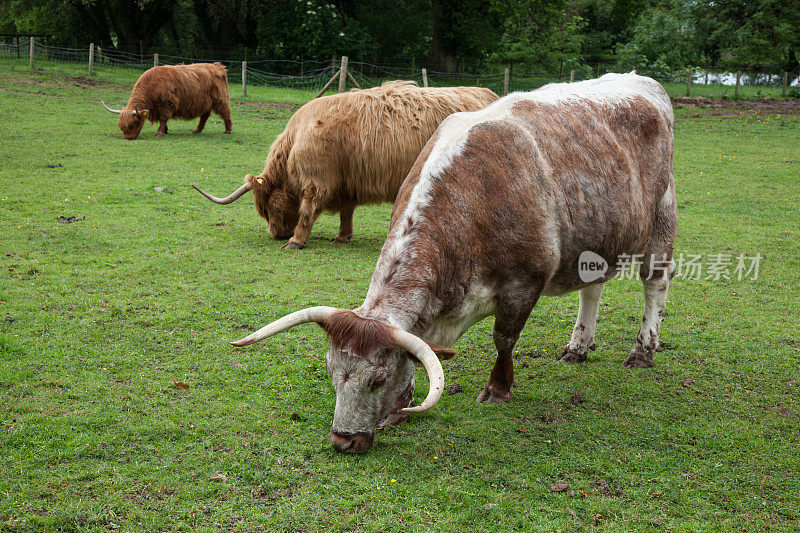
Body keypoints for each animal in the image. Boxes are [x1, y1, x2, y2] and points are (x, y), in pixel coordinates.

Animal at [100, 62, 231, 139]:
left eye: (134, 123)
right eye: (121, 126)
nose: (127, 138)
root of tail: (217, 66)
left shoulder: (167, 104)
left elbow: (163, 118)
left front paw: (159, 132)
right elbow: (164, 120)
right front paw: (165, 130)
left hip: (220, 99)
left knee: (226, 113)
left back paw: (228, 131)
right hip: (205, 103)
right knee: (204, 116)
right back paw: (197, 130)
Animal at [193, 82, 496, 248]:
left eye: (265, 208)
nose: (276, 235)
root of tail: (488, 94)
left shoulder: (317, 181)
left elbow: (307, 210)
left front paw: (296, 241)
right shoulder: (346, 182)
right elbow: (346, 212)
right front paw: (342, 237)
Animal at [230, 72, 676, 450]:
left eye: (377, 379)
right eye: (331, 372)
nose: (343, 441)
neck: (475, 198)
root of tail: (642, 81)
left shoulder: (523, 284)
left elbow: (504, 339)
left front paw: (498, 389)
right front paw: (400, 409)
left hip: (661, 224)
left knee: (655, 286)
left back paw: (642, 351)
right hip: (598, 237)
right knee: (592, 290)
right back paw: (578, 346)